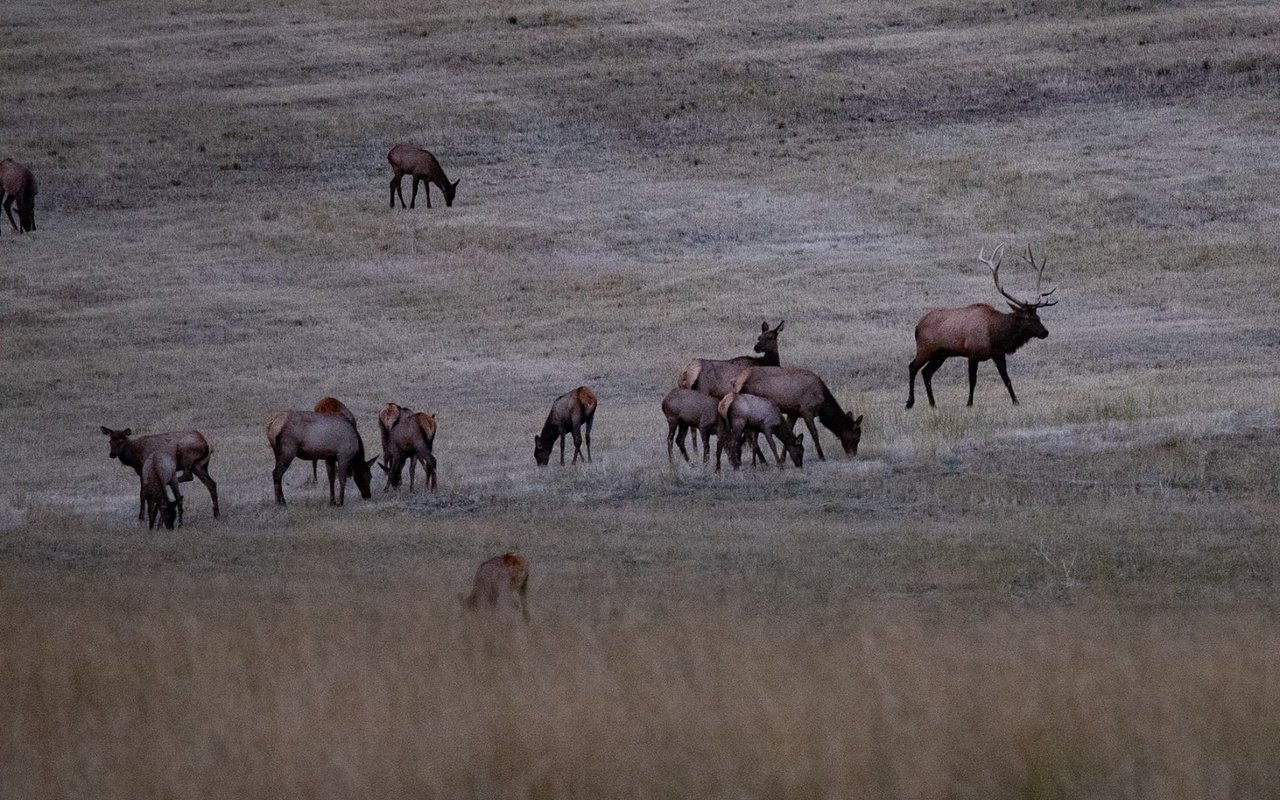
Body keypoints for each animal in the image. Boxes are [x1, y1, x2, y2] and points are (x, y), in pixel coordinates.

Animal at [731, 367, 862, 461]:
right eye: (857, 437)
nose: (854, 454)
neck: (822, 404)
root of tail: (736, 381)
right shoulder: (806, 410)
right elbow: (814, 433)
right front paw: (821, 456)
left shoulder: (793, 413)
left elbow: (790, 431)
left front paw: (784, 458)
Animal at [906, 243, 1057, 409]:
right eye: (1027, 318)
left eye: (1038, 316)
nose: (1045, 332)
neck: (996, 336)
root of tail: (917, 327)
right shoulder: (972, 353)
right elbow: (972, 380)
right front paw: (969, 403)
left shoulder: (998, 354)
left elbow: (1007, 379)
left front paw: (1016, 401)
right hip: (925, 348)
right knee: (913, 367)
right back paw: (910, 402)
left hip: (941, 353)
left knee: (927, 372)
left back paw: (933, 403)